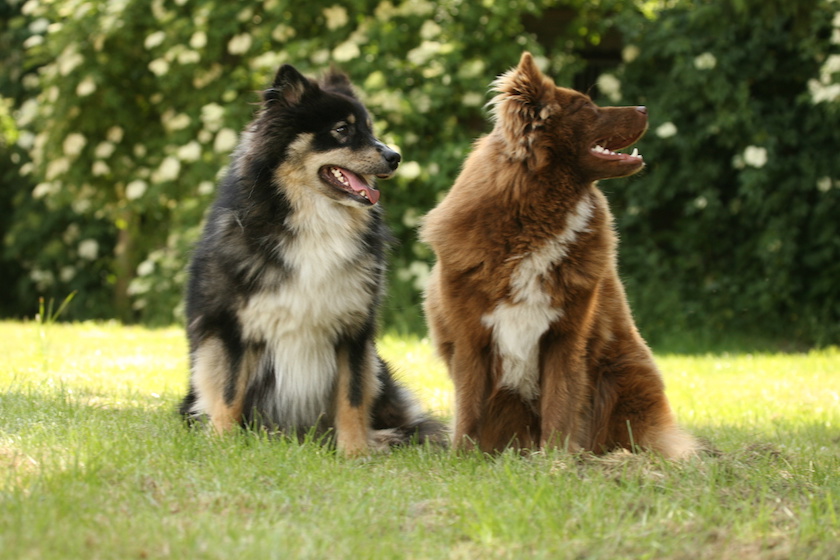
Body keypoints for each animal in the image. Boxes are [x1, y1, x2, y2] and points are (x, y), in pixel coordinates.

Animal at [180, 64, 446, 456]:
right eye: (342, 129)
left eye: (370, 129)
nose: (395, 157)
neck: (316, 220)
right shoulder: (232, 327)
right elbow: (228, 392)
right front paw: (225, 444)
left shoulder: (353, 330)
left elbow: (353, 397)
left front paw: (355, 452)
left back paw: (384, 438)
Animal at [424, 52, 700, 458]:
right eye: (586, 107)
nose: (645, 108)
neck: (535, 214)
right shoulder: (471, 338)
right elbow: (469, 407)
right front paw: (464, 458)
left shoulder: (566, 336)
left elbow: (560, 403)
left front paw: (555, 460)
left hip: (624, 375)